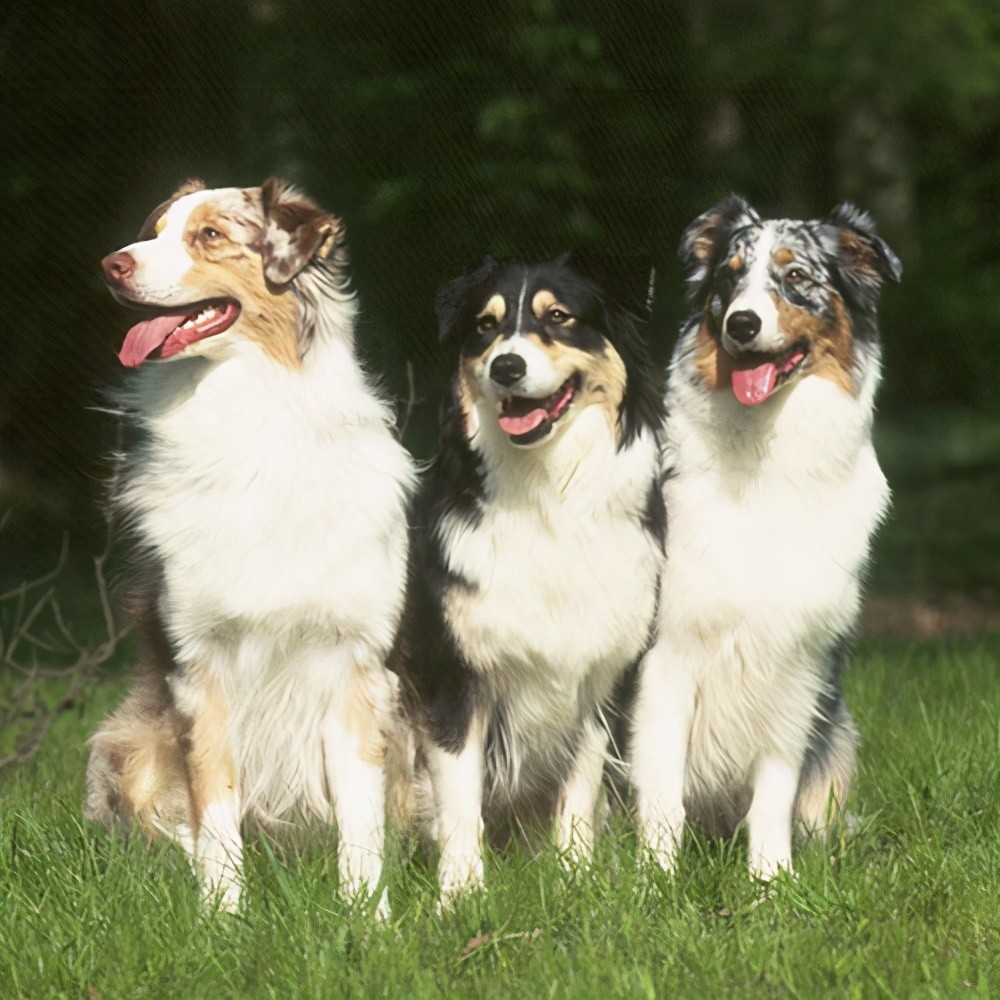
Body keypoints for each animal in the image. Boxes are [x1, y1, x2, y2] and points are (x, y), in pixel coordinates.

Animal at [84, 180, 414, 916]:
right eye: (156, 230)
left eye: (209, 236)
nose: (112, 265)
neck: (254, 413)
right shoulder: (197, 664)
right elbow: (215, 802)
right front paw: (223, 914)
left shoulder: (356, 663)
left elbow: (361, 815)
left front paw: (368, 915)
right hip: (125, 743)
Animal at [402, 254, 668, 904]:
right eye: (485, 326)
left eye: (559, 317)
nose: (507, 365)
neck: (544, 492)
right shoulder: (454, 673)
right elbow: (460, 793)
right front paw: (460, 894)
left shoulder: (600, 674)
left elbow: (581, 788)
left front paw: (576, 878)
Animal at [632, 197, 908, 884]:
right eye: (729, 278)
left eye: (797, 276)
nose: (742, 323)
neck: (763, 459)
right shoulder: (666, 654)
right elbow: (662, 789)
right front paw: (654, 883)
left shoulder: (798, 663)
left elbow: (774, 792)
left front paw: (770, 881)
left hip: (837, 728)